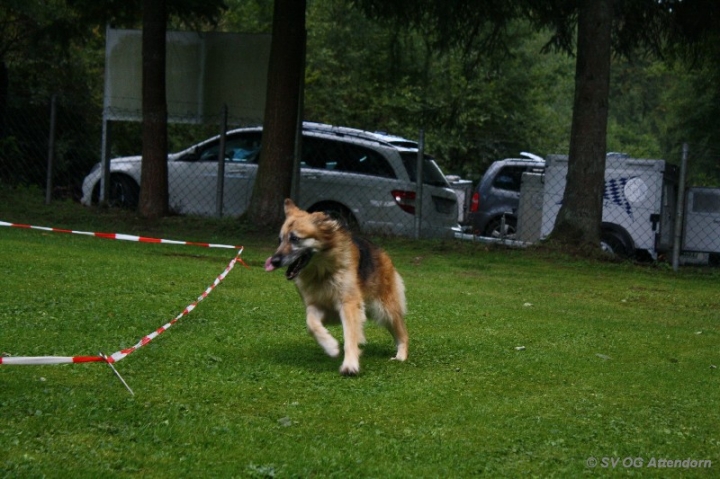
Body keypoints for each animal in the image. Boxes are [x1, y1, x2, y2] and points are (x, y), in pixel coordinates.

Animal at [266, 199, 410, 376]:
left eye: (295, 238)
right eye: (280, 240)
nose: (273, 261)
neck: (322, 272)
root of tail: (381, 252)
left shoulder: (348, 304)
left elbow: (350, 336)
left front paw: (350, 364)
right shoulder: (320, 307)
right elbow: (311, 324)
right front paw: (331, 346)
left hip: (385, 309)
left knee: (402, 333)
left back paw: (401, 356)